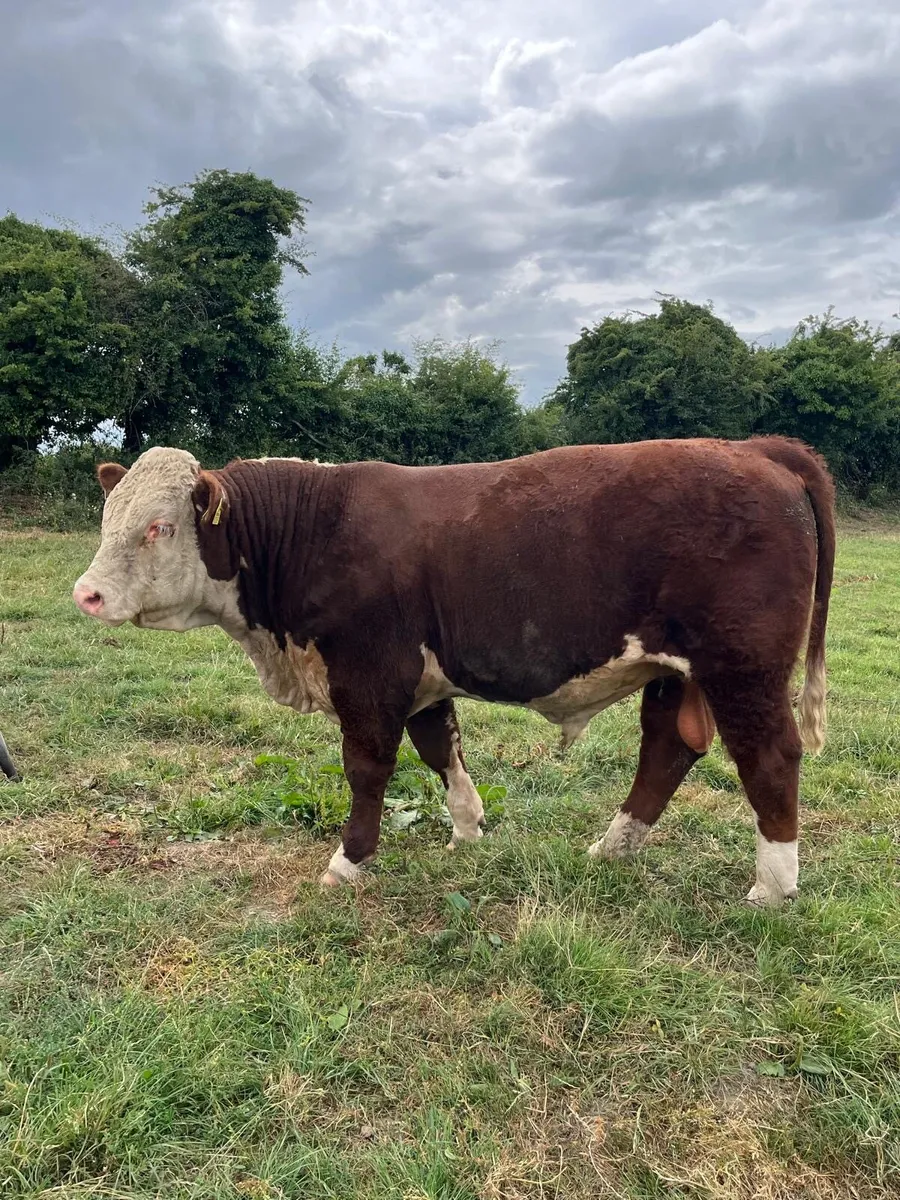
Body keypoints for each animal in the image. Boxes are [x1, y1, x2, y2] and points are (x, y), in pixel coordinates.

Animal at [72, 436, 834, 906]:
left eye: (161, 527)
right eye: (108, 515)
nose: (87, 593)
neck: (314, 530)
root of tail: (753, 447)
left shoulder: (370, 673)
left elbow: (368, 768)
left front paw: (349, 860)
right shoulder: (419, 678)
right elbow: (441, 747)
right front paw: (467, 830)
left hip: (744, 668)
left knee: (770, 756)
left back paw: (773, 885)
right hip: (676, 671)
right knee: (669, 748)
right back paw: (612, 848)